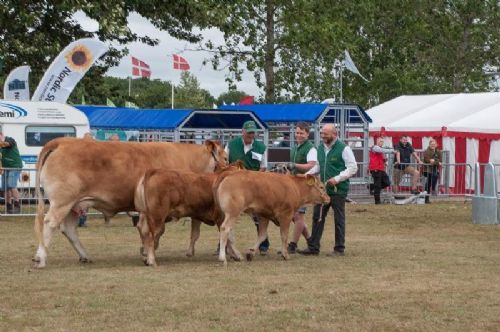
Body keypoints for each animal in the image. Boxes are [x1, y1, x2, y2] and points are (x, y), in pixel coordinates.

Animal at [31, 136, 227, 268]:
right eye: (225, 157)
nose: (229, 164)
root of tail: (61, 141)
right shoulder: (159, 209)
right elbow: (156, 231)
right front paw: (147, 253)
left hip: (75, 204)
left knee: (69, 229)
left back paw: (85, 256)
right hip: (62, 201)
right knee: (49, 223)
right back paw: (40, 258)